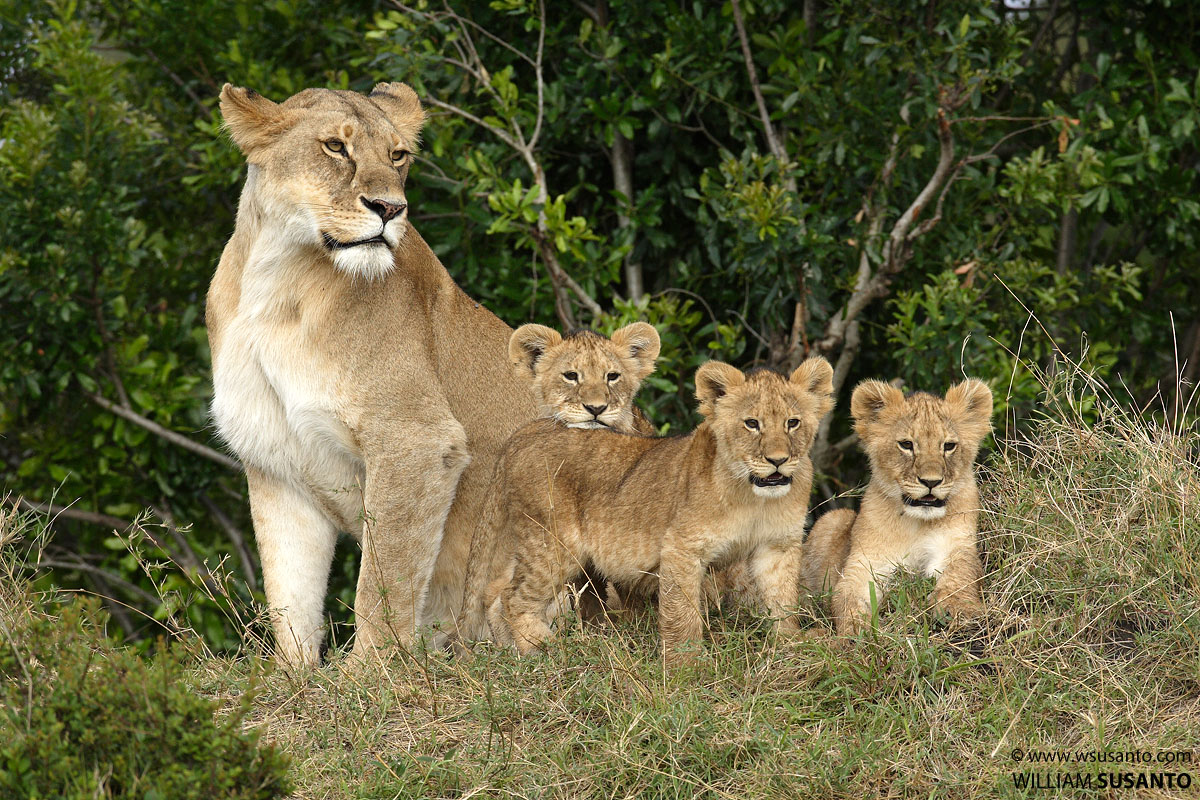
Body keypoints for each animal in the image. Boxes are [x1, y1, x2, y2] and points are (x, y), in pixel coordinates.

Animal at [208, 82, 538, 665]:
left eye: (397, 155)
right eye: (335, 147)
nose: (389, 208)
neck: (278, 282)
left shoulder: (417, 440)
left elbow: (385, 577)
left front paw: (369, 673)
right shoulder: (276, 461)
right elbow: (289, 593)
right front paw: (295, 676)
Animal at [459, 358, 835, 664]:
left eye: (793, 422)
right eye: (752, 423)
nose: (778, 460)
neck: (754, 497)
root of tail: (526, 432)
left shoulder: (778, 546)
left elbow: (782, 600)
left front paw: (791, 642)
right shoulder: (681, 547)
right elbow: (682, 615)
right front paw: (686, 669)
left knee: (497, 592)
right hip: (552, 544)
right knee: (512, 598)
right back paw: (547, 649)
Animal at [801, 378, 994, 636]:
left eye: (949, 446)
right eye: (906, 444)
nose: (931, 482)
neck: (916, 523)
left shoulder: (957, 546)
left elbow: (959, 576)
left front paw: (960, 609)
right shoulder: (866, 564)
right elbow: (847, 597)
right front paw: (857, 630)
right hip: (833, 518)